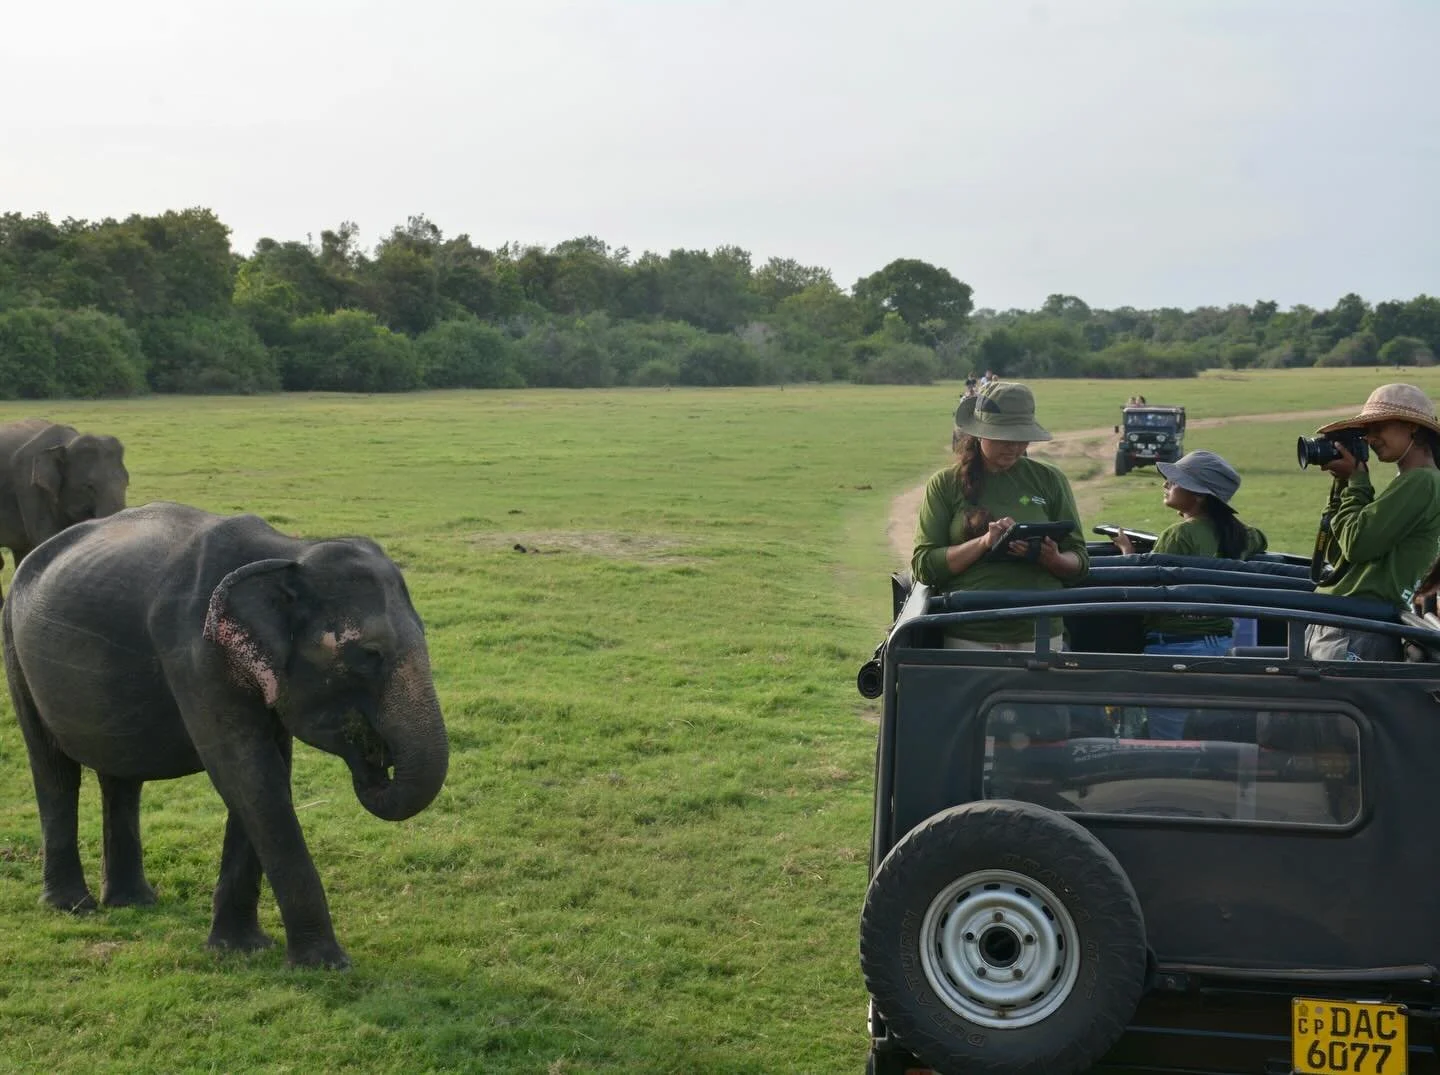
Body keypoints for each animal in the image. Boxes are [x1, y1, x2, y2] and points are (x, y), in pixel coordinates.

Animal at [2, 501, 449, 969]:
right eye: (369, 654)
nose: (375, 757)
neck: (290, 553)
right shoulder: (196, 654)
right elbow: (248, 773)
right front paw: (326, 965)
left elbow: (268, 773)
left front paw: (241, 948)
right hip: (13, 647)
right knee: (54, 769)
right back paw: (73, 906)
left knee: (119, 777)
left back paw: (132, 902)